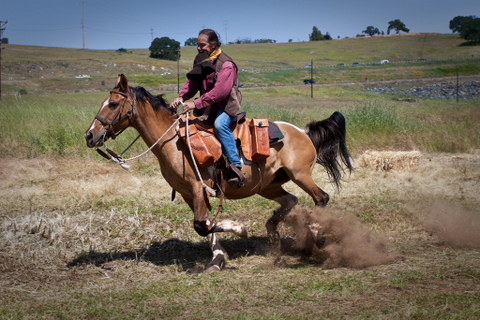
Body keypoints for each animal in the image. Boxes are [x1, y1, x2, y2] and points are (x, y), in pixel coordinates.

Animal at [84, 75, 352, 272]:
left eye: (113, 104)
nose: (89, 135)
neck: (173, 142)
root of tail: (303, 131)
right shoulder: (188, 193)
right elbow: (204, 225)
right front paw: (218, 258)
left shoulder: (197, 187)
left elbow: (201, 225)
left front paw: (239, 229)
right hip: (268, 185)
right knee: (291, 200)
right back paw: (273, 231)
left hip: (300, 175)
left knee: (321, 197)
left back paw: (317, 236)